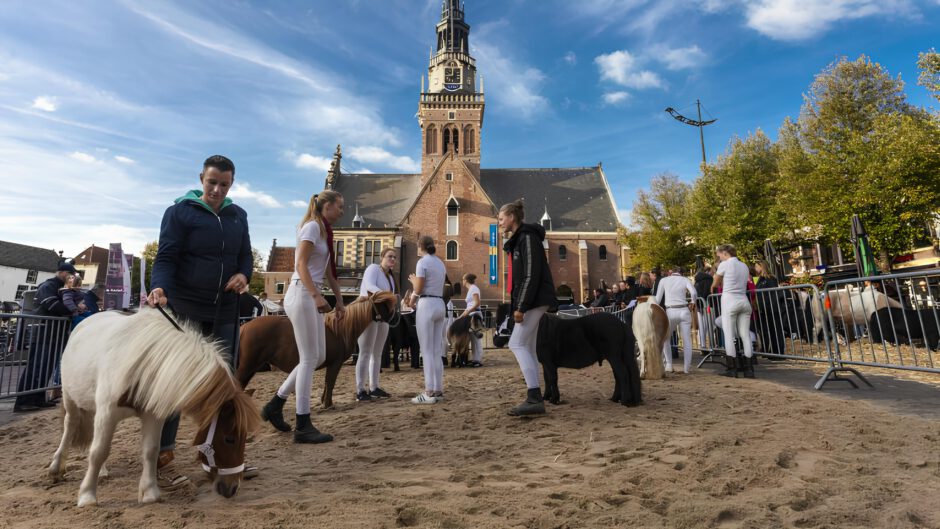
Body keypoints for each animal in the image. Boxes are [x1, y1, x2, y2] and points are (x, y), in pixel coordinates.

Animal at [48, 310, 258, 508]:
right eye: (229, 439)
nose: (232, 487)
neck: (144, 365)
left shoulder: (153, 415)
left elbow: (151, 450)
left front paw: (150, 493)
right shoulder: (107, 413)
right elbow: (98, 452)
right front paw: (87, 496)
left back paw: (103, 472)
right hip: (70, 398)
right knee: (70, 426)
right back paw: (57, 467)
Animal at [237, 288, 398, 408]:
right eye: (384, 305)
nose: (394, 319)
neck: (338, 330)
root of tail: (244, 327)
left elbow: (327, 384)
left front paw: (325, 402)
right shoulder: (335, 363)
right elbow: (330, 383)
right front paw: (328, 405)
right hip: (248, 365)